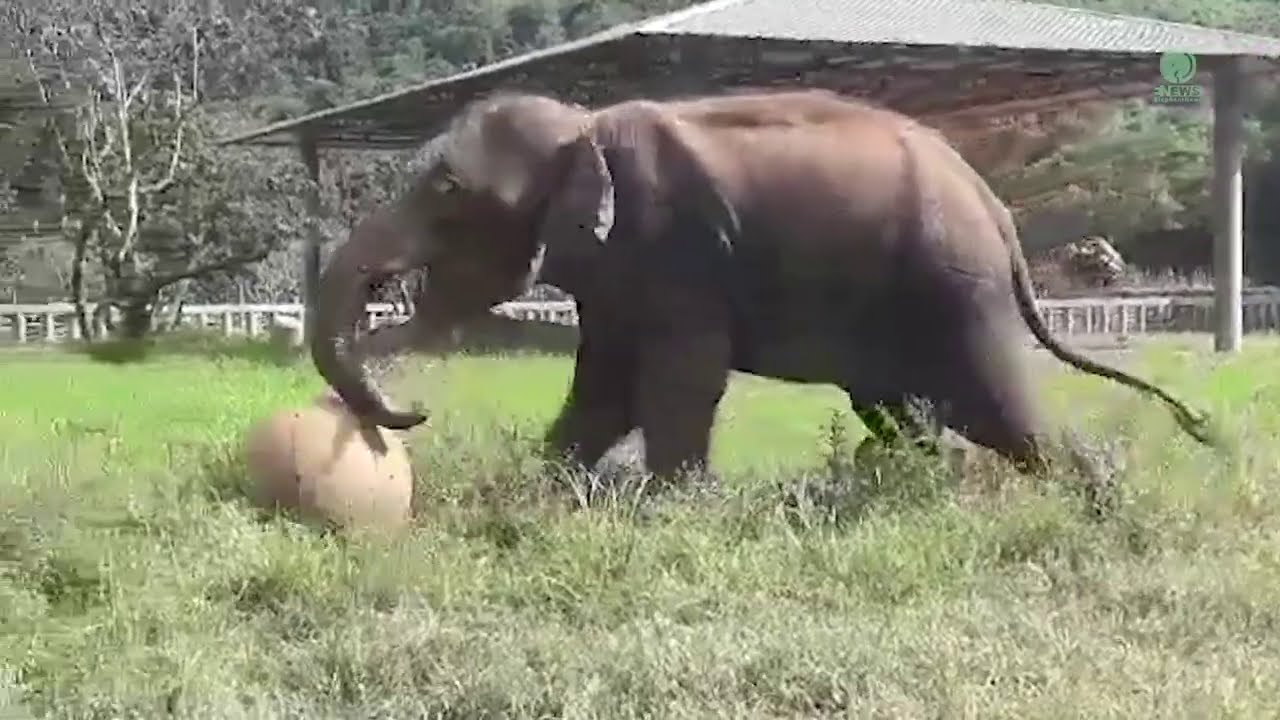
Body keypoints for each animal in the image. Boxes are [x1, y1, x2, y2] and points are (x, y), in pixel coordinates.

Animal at [310, 88, 1215, 484]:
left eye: (448, 192)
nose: (409, 413)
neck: (585, 123)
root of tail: (995, 209)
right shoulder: (621, 273)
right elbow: (605, 386)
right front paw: (546, 490)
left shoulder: (676, 250)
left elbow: (676, 380)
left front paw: (669, 507)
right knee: (903, 411)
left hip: (954, 289)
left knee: (993, 407)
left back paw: (1093, 498)